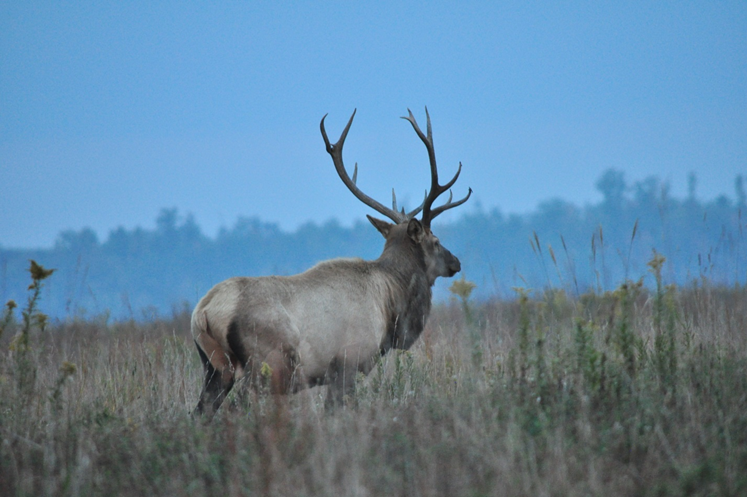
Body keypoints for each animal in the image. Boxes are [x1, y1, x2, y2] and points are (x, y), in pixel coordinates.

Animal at [193, 106, 474, 416]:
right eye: (435, 241)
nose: (456, 262)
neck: (390, 305)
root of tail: (204, 313)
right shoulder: (348, 362)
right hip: (268, 364)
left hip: (215, 368)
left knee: (201, 411)